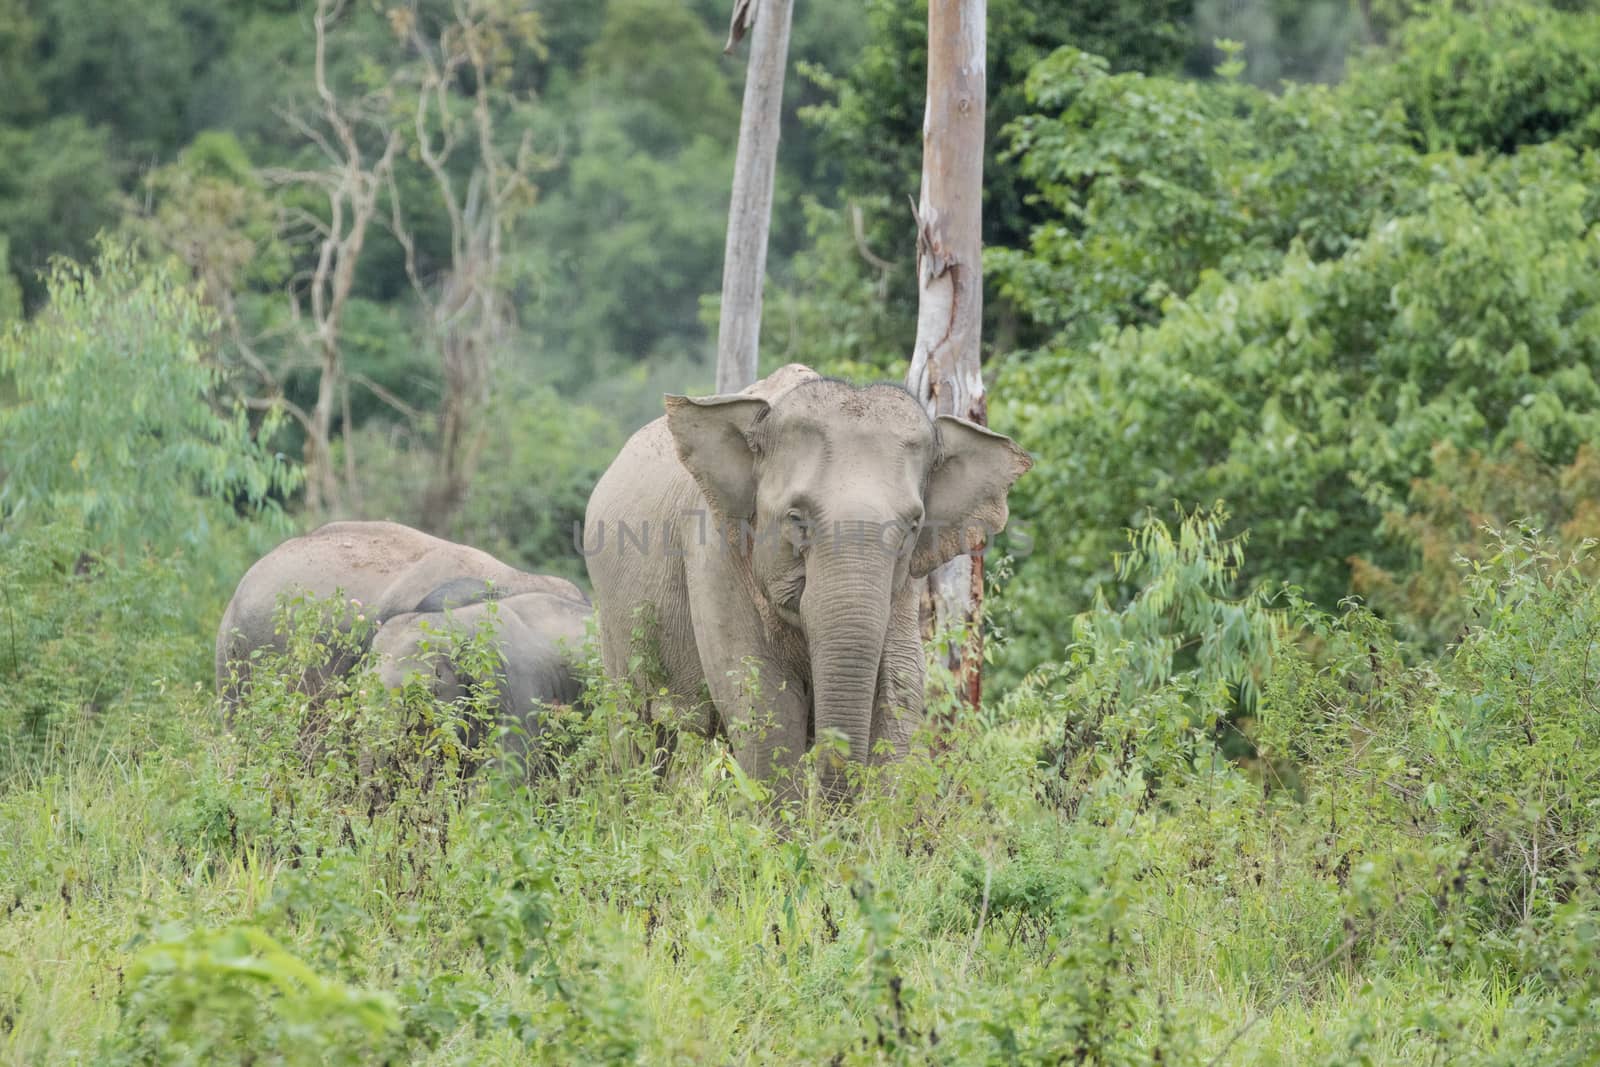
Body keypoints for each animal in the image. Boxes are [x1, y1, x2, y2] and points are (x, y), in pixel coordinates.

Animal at [582, 363, 1030, 796]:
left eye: (913, 526)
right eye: (796, 519)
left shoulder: (906, 582)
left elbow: (901, 684)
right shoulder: (712, 552)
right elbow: (762, 700)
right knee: (637, 732)